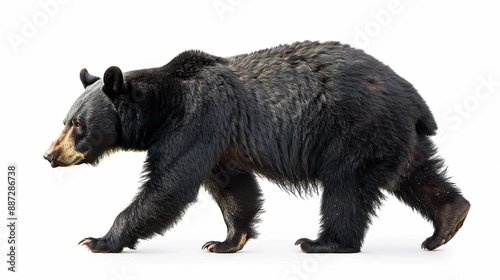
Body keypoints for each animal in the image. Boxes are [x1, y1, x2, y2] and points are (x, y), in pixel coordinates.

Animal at [45, 40, 470, 253]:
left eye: (77, 124)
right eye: (65, 120)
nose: (50, 155)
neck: (165, 104)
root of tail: (414, 99)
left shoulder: (198, 121)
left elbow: (169, 185)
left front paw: (99, 239)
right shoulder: (221, 142)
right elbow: (233, 188)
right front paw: (226, 241)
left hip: (355, 128)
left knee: (346, 188)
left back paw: (324, 242)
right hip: (396, 135)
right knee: (416, 174)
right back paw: (448, 223)